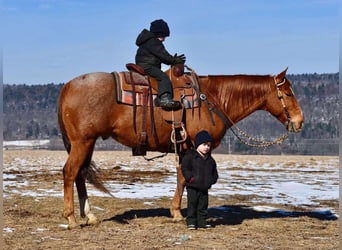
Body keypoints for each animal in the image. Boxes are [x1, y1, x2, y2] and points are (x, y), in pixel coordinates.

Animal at [57, 66, 304, 229]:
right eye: (288, 93)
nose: (300, 121)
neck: (212, 99)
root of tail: (67, 86)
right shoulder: (196, 146)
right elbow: (186, 177)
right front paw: (178, 213)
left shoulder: (184, 147)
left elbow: (182, 177)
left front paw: (177, 211)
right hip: (82, 142)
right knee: (70, 172)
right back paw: (71, 218)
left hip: (87, 143)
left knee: (80, 175)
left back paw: (89, 216)